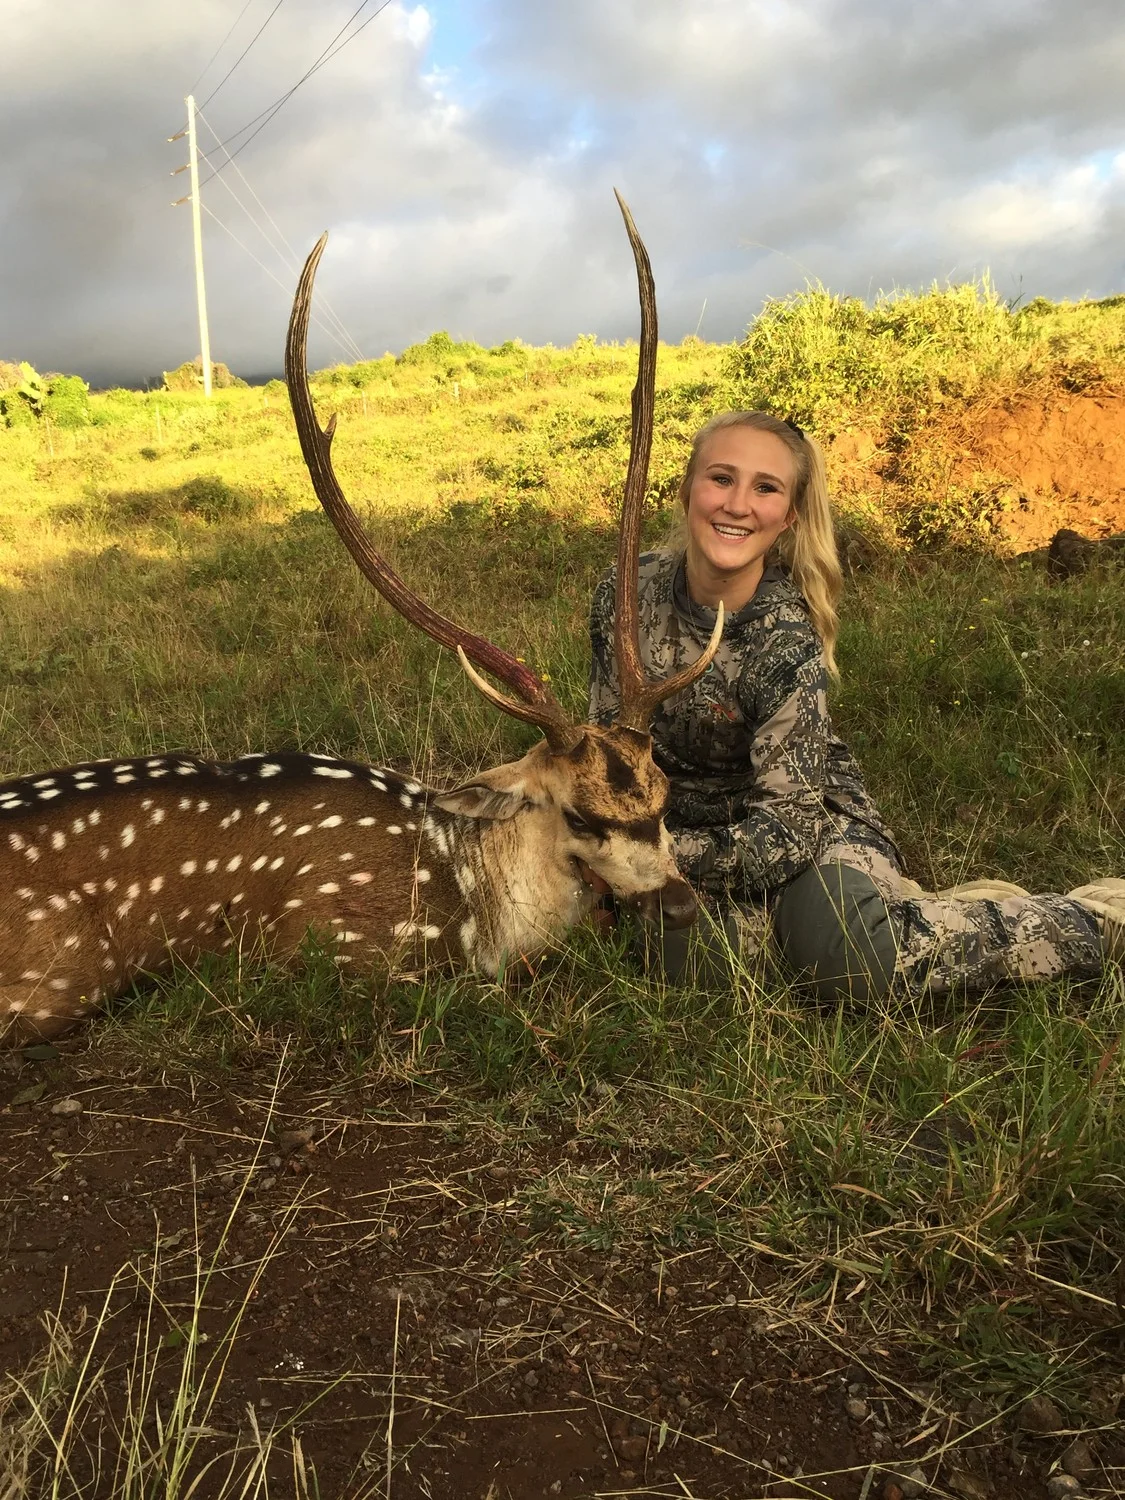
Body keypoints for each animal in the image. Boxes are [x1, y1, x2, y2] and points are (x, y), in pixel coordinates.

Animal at [0, 196, 723, 1046]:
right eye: (579, 813)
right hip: (50, 986)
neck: (474, 906)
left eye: (663, 793)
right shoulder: (337, 942)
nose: (678, 903)